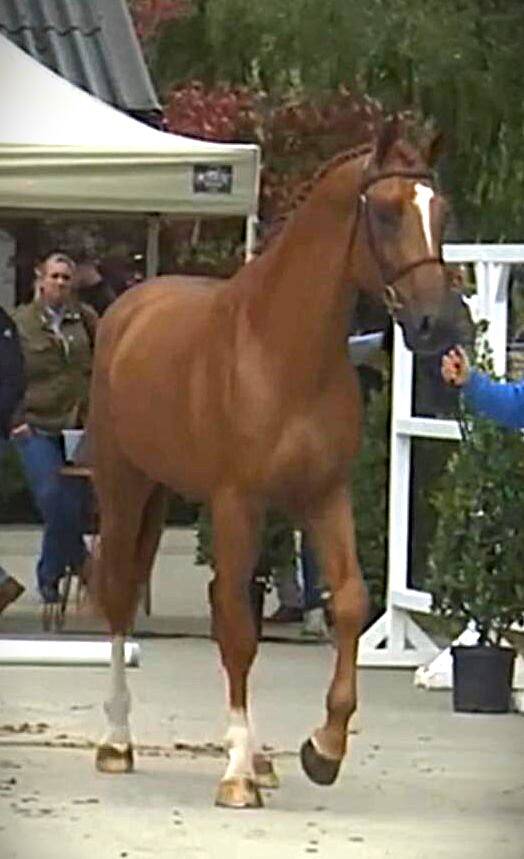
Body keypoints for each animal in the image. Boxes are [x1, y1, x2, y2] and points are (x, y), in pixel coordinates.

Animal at [88, 117, 461, 809]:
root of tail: (129, 307)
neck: (281, 348)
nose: (438, 323)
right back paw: (118, 743)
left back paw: (261, 757)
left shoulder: (324, 495)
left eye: (441, 212)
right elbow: (239, 629)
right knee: (122, 597)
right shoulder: (238, 499)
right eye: (387, 211)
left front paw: (324, 748)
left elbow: (348, 601)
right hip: (126, 486)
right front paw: (236, 775)